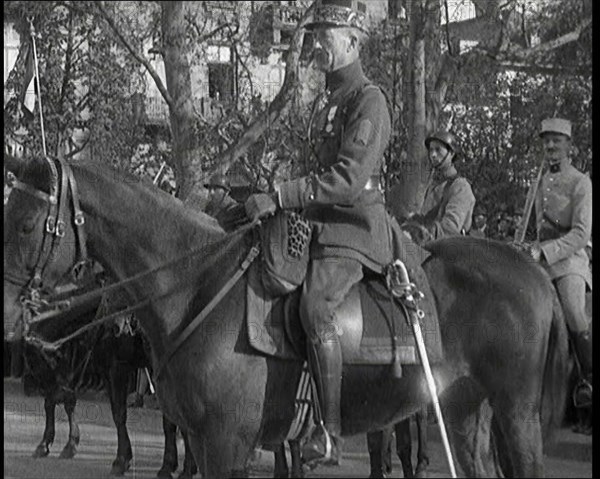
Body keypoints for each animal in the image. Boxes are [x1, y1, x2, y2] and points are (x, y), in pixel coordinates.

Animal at [3, 159, 568, 478]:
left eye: (27, 223)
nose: (9, 315)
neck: (194, 283)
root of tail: (532, 266)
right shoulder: (205, 439)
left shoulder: (224, 443)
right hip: (464, 406)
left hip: (516, 411)